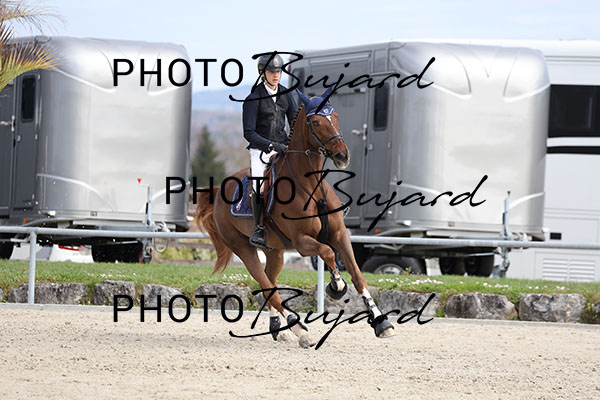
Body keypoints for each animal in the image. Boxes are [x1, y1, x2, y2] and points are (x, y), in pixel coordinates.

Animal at [195, 87, 394, 347]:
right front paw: (336, 286)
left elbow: (357, 275)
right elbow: (328, 253)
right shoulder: (302, 241)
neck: (310, 184)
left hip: (275, 251)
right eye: (316, 122)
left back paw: (279, 329)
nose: (342, 155)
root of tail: (219, 191)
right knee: (268, 286)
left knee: (268, 283)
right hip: (243, 248)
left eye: (336, 117)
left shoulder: (339, 235)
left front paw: (382, 323)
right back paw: (299, 329)